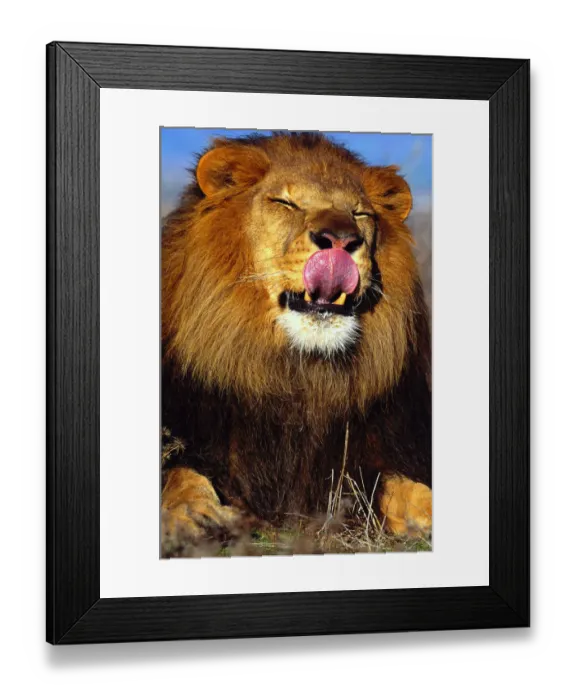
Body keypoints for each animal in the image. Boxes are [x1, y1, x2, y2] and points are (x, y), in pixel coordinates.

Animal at [161, 132, 432, 551]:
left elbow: (412, 488)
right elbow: (177, 473)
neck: (298, 374)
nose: (341, 239)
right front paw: (194, 514)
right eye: (285, 203)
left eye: (359, 214)